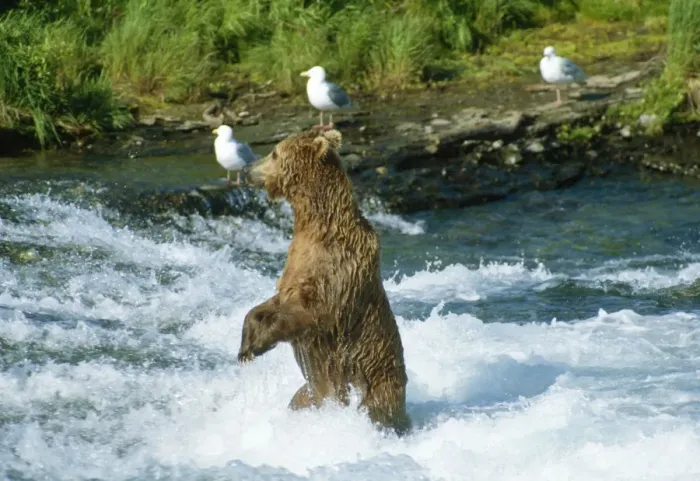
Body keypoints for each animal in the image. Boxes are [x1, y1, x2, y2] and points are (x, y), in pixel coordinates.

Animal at [236, 128, 411, 436]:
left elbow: (311, 313)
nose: (246, 170)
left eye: (274, 153)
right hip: (309, 395)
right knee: (300, 399)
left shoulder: (337, 274)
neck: (319, 227)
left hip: (376, 385)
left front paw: (260, 343)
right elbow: (270, 303)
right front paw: (246, 344)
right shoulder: (296, 264)